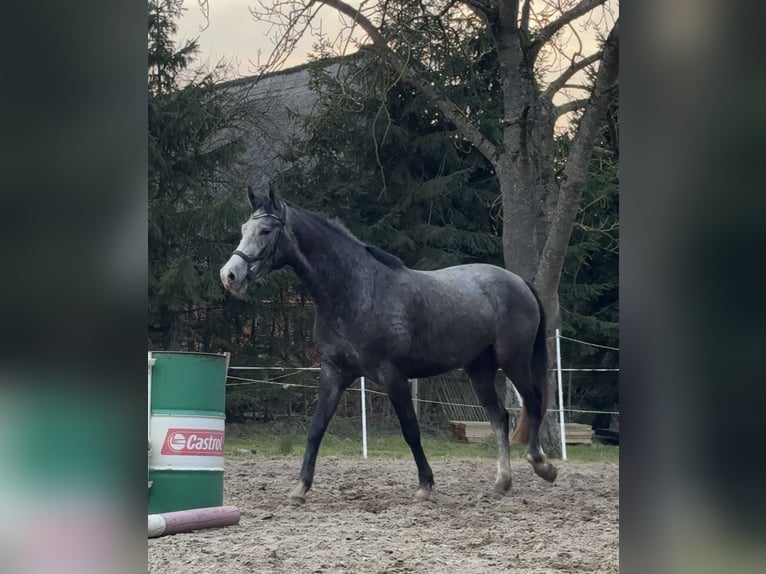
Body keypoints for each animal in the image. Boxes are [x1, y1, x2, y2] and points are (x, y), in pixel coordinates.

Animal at [220, 185, 558, 504]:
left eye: (265, 230)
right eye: (243, 228)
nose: (229, 275)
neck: (355, 291)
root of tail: (518, 281)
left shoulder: (392, 376)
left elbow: (410, 430)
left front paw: (426, 487)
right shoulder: (334, 373)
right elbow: (316, 428)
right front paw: (300, 488)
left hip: (513, 360)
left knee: (532, 402)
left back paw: (542, 465)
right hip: (480, 369)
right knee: (499, 416)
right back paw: (502, 482)